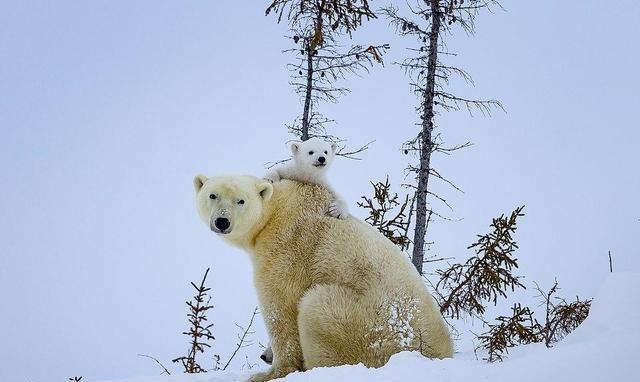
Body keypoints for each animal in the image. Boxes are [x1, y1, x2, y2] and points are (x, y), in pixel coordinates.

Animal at [192, 175, 452, 380]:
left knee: (316, 306)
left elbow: (280, 305)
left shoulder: (286, 245)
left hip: (370, 326)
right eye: (213, 195)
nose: (222, 221)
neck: (279, 207)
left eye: (241, 200)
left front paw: (268, 373)